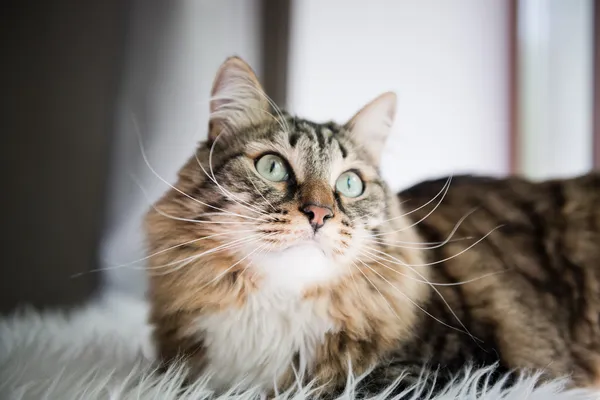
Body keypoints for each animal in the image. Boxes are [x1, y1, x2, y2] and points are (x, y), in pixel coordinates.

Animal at [145, 57, 600, 396]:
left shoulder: (473, 372)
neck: (278, 309)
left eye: (350, 183)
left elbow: (348, 386)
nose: (319, 214)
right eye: (272, 167)